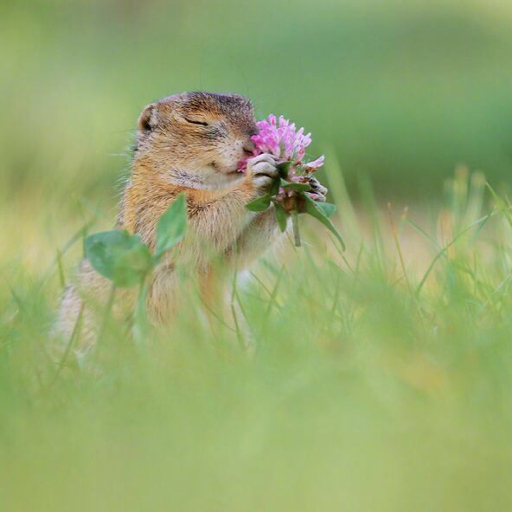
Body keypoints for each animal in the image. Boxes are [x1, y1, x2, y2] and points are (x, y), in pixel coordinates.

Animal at [56, 93, 326, 346]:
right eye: (196, 121)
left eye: (251, 113)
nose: (253, 146)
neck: (212, 184)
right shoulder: (155, 207)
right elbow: (198, 225)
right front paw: (255, 177)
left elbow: (238, 251)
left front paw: (300, 193)